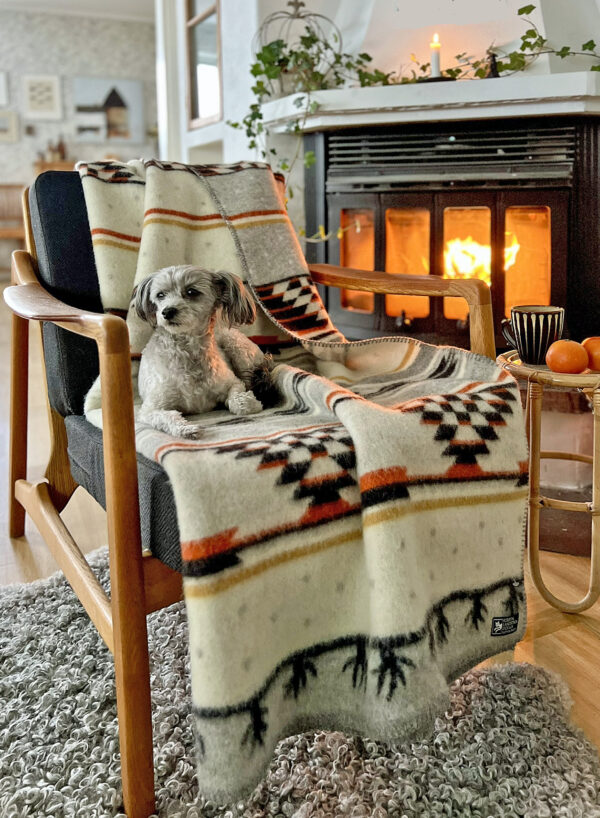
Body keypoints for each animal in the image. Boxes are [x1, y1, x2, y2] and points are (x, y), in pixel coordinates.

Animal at [135, 264, 274, 436]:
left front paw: (250, 403)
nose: (167, 312)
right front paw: (186, 429)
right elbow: (166, 417)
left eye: (191, 292)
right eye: (160, 295)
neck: (188, 351)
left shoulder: (234, 383)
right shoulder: (150, 408)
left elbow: (240, 403)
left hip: (238, 349)